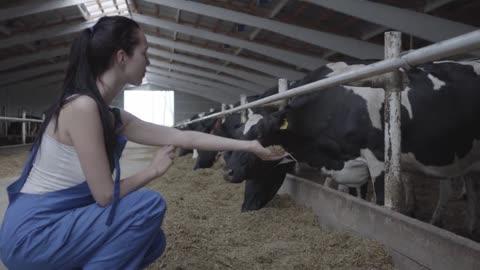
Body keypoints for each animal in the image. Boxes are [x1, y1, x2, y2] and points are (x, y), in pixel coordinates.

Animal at [223, 60, 480, 232]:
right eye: (238, 135)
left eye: (259, 135)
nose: (228, 172)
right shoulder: (353, 168)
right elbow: (354, 198)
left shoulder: (378, 161)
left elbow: (380, 203)